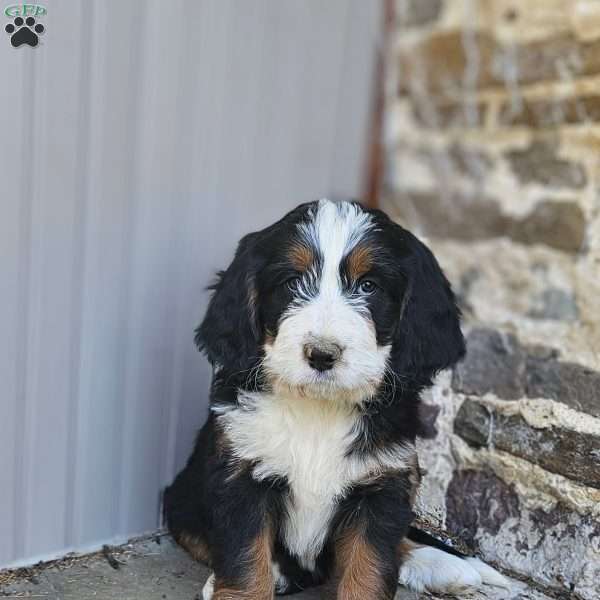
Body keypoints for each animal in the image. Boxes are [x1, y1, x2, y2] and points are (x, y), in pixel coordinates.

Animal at [164, 199, 506, 596]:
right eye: (292, 282)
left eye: (369, 285)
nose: (322, 354)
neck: (319, 409)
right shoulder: (240, 475)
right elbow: (246, 562)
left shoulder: (384, 485)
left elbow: (371, 565)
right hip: (182, 498)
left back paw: (441, 563)